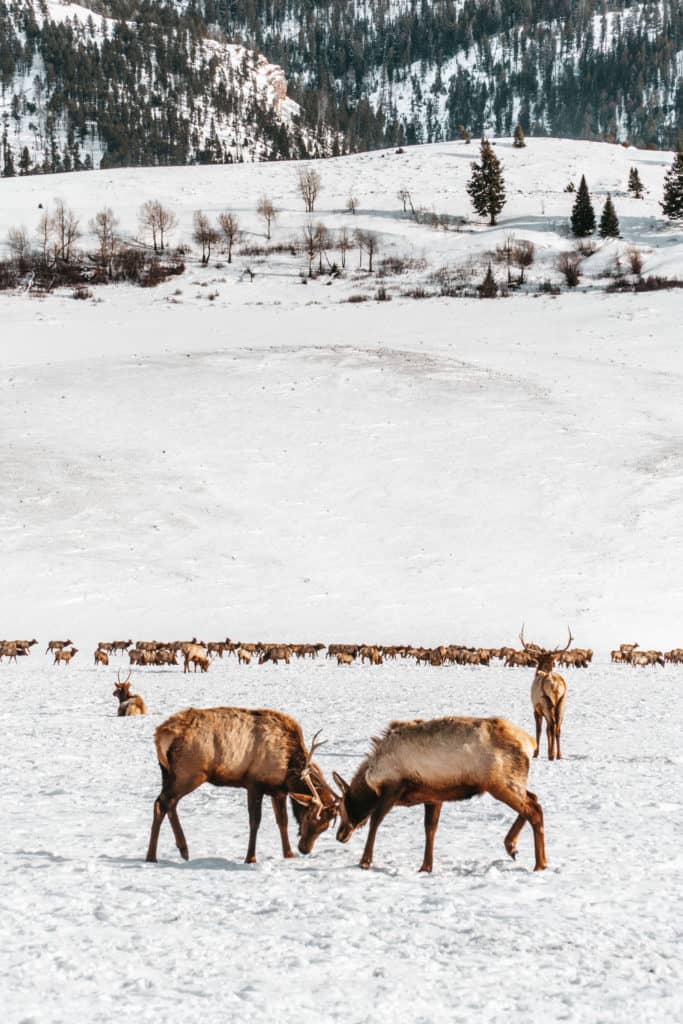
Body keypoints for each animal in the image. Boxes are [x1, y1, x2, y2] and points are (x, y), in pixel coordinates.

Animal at [146, 712, 339, 864]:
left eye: (324, 827)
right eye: (308, 818)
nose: (305, 849)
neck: (289, 770)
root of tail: (160, 734)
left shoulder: (278, 791)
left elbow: (282, 822)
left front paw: (289, 854)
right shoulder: (254, 784)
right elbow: (255, 822)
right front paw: (250, 858)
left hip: (169, 773)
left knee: (168, 804)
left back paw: (180, 850)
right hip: (189, 774)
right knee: (162, 803)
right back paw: (154, 855)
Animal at [518, 622, 573, 761]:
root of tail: (555, 685)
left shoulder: (536, 708)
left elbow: (539, 730)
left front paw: (536, 753)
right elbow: (548, 730)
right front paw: (548, 751)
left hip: (545, 702)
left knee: (552, 725)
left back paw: (552, 755)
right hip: (562, 702)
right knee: (558, 727)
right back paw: (558, 755)